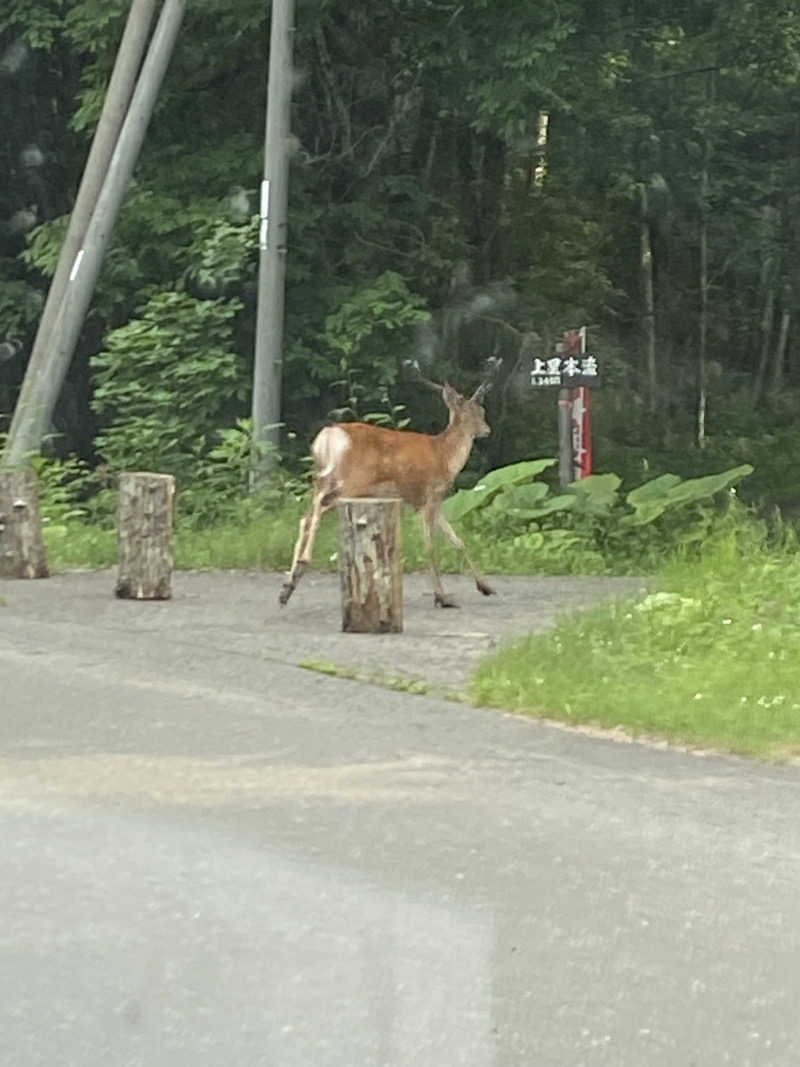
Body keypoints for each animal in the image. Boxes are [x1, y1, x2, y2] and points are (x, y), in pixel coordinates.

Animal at [279, 373, 499, 610]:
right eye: (479, 412)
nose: (487, 430)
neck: (445, 456)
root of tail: (328, 437)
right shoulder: (430, 495)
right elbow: (430, 545)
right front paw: (442, 596)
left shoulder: (427, 502)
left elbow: (458, 541)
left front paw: (485, 586)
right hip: (352, 480)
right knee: (319, 505)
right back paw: (302, 563)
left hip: (325, 478)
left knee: (307, 515)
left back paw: (288, 586)